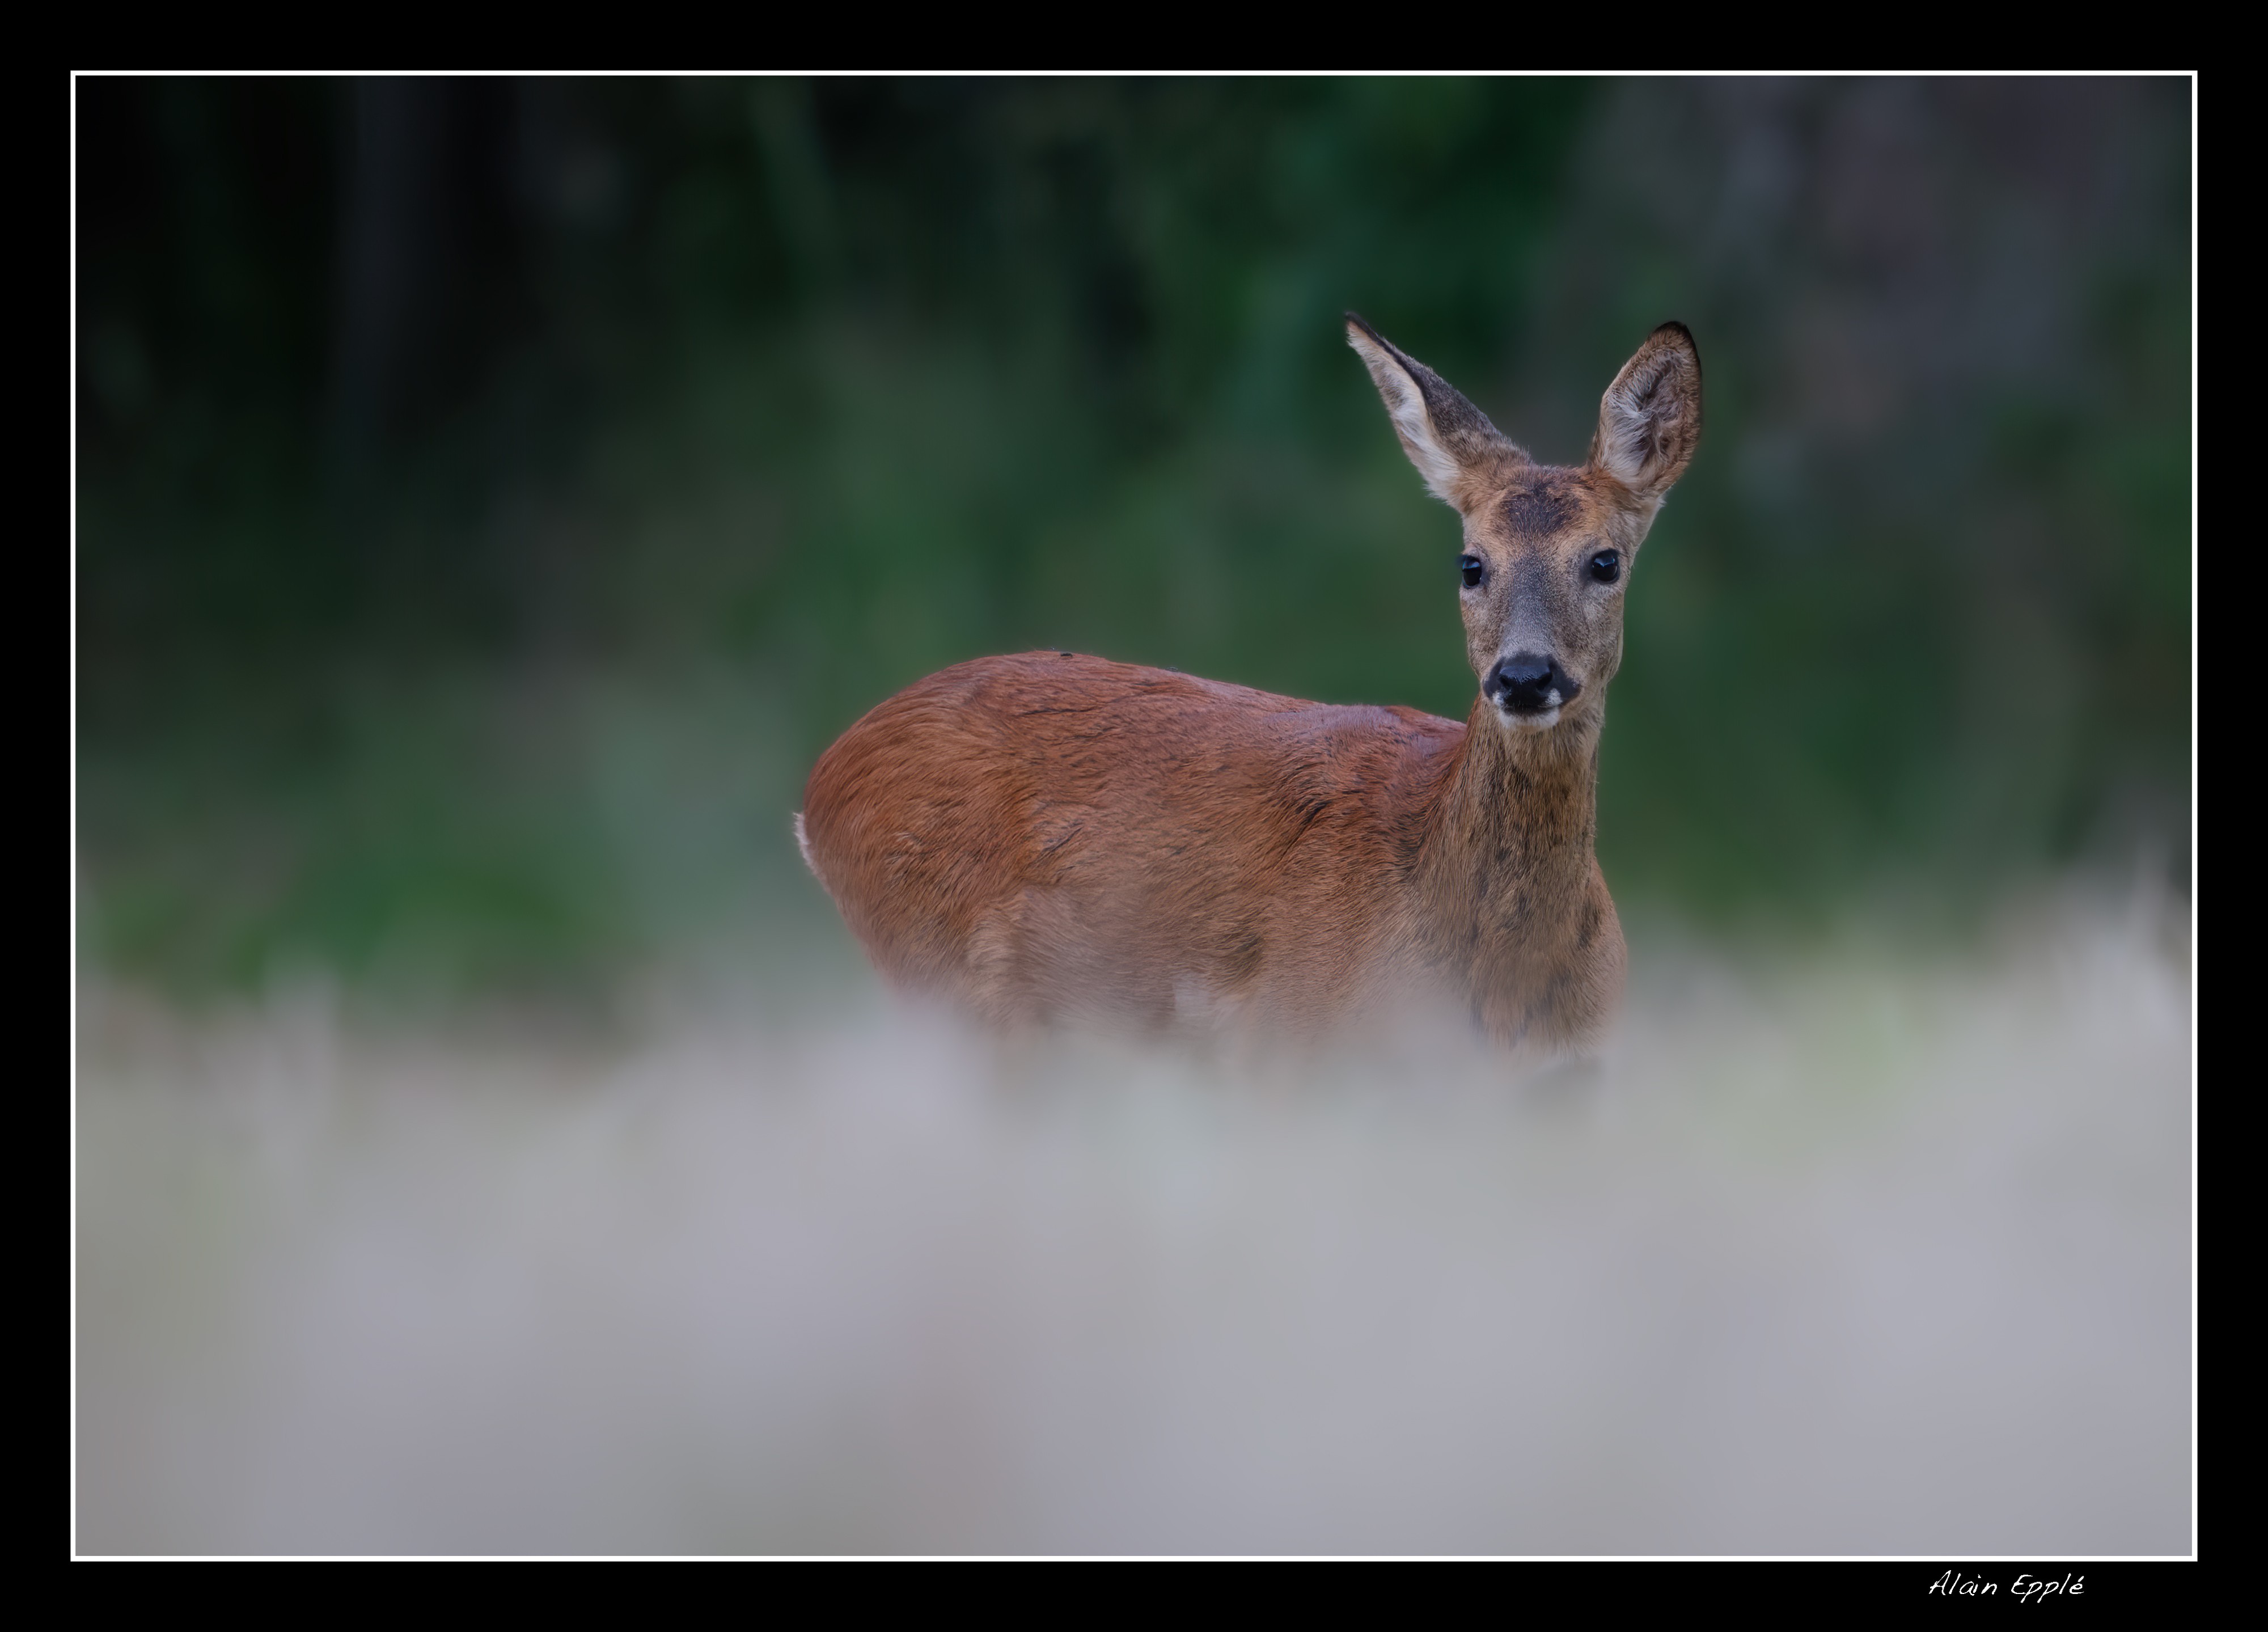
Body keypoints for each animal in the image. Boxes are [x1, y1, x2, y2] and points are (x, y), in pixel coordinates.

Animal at [798, 315, 1706, 1056]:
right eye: (1471, 563)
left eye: (1605, 560)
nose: (1523, 675)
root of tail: (820, 788)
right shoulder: (1289, 1043)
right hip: (950, 985)